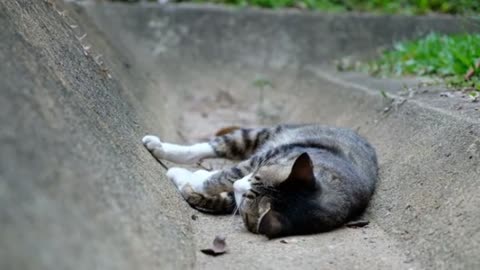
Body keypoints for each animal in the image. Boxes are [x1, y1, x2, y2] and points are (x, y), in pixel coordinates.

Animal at [142, 123, 378, 237]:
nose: (238, 186)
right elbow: (226, 174)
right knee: (212, 146)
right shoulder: (266, 157)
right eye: (258, 174)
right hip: (260, 135)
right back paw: (159, 146)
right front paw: (199, 177)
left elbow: (215, 194)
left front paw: (187, 180)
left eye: (246, 199)